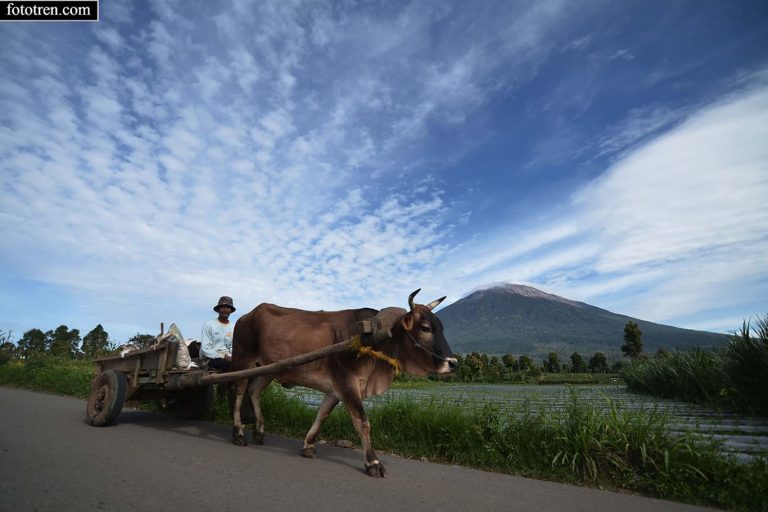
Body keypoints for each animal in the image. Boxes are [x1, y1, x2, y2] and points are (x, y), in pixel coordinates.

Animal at [228, 290, 456, 478]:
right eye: (425, 328)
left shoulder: (335, 389)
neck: (371, 340)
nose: (453, 363)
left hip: (267, 369)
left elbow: (322, 415)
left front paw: (308, 446)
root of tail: (246, 316)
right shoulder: (347, 383)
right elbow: (362, 422)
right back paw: (238, 434)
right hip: (243, 360)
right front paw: (373, 463)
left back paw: (259, 431)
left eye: (442, 328)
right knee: (238, 393)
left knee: (254, 392)